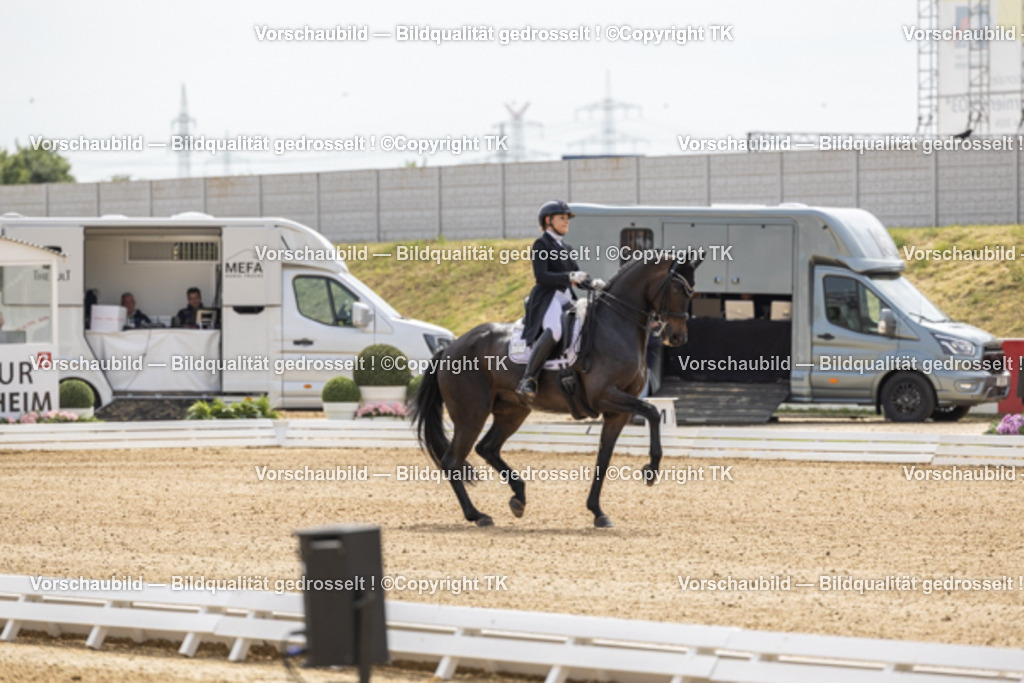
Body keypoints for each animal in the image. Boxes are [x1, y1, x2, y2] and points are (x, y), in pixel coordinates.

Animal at [410, 253, 700, 528]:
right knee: (452, 461)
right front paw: (651, 470)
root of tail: (449, 347)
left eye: (692, 291)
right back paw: (477, 515)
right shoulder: (605, 396)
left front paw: (598, 512)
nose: (677, 338)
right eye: (677, 289)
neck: (616, 325)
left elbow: (604, 458)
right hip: (472, 414)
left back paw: (518, 497)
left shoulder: (618, 410)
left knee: (487, 448)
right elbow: (652, 412)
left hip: (512, 411)